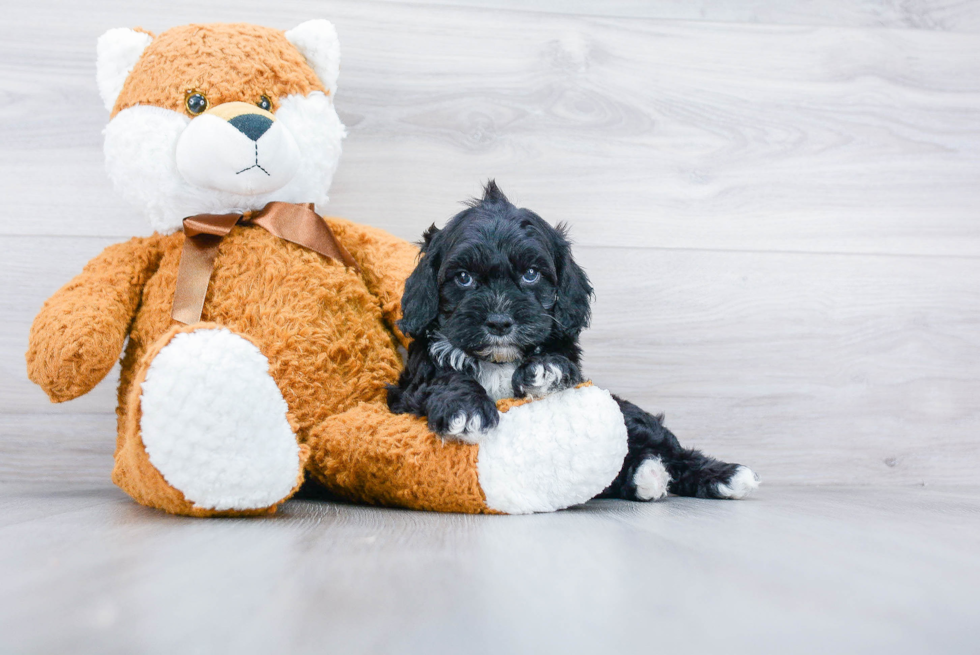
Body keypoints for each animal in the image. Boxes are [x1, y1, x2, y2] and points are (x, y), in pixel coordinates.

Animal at [388, 183, 756, 502]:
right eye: (463, 278)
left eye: (531, 274)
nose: (499, 322)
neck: (499, 362)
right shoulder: (406, 391)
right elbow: (443, 378)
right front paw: (466, 408)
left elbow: (559, 361)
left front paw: (545, 368)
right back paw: (645, 477)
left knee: (667, 447)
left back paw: (723, 476)